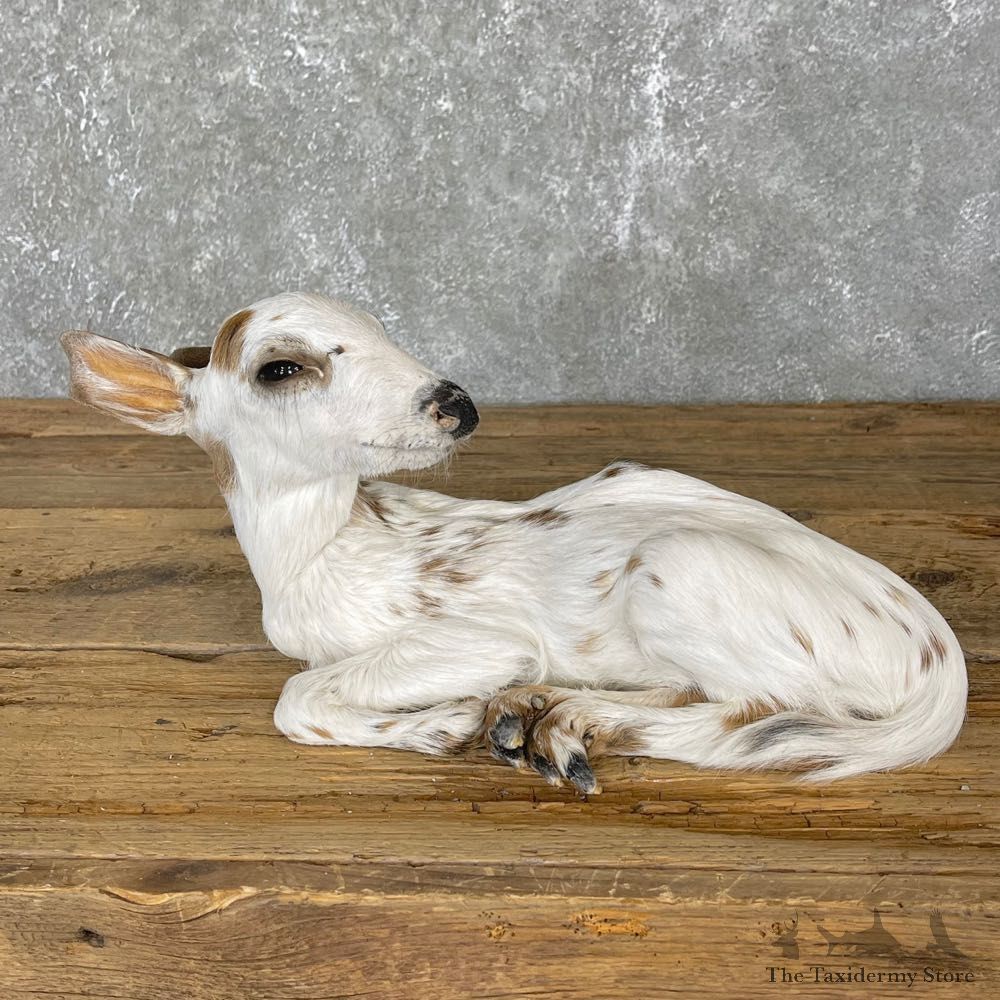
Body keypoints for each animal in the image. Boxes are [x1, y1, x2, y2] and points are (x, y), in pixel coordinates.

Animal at [61, 291, 967, 793]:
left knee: (759, 713)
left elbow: (296, 697)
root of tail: (941, 664)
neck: (316, 556)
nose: (454, 402)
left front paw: (443, 723)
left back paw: (557, 724)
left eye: (382, 332)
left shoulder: (481, 635)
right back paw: (537, 717)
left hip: (675, 569)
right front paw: (461, 721)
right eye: (279, 368)